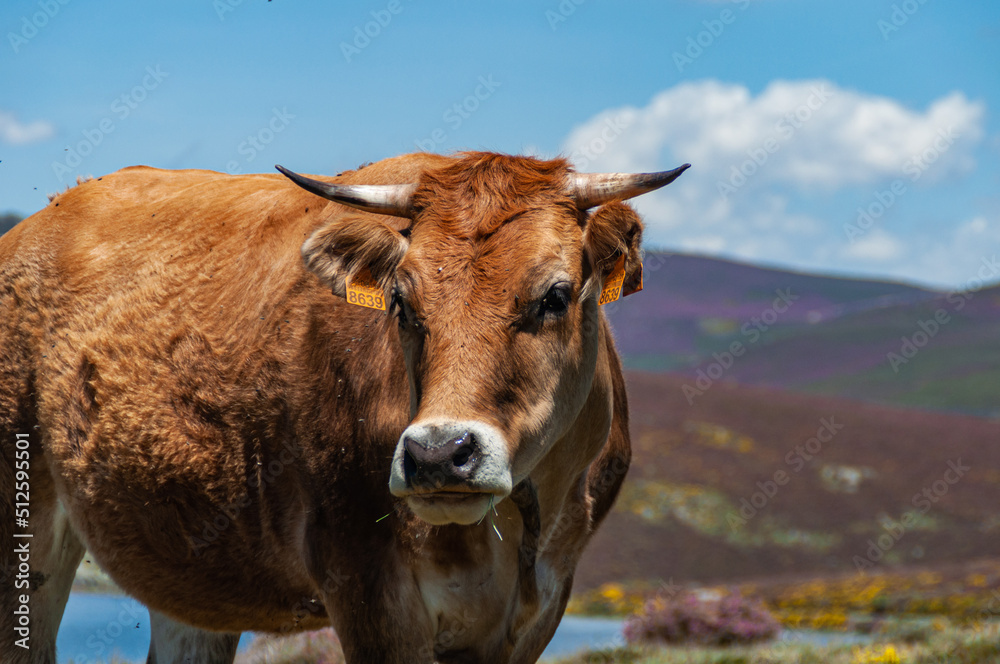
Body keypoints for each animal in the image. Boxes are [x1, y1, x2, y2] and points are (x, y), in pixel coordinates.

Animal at [0, 151, 688, 664]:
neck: (514, 528)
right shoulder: (368, 590)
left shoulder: (537, 611)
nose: (439, 454)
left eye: (555, 295)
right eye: (401, 302)